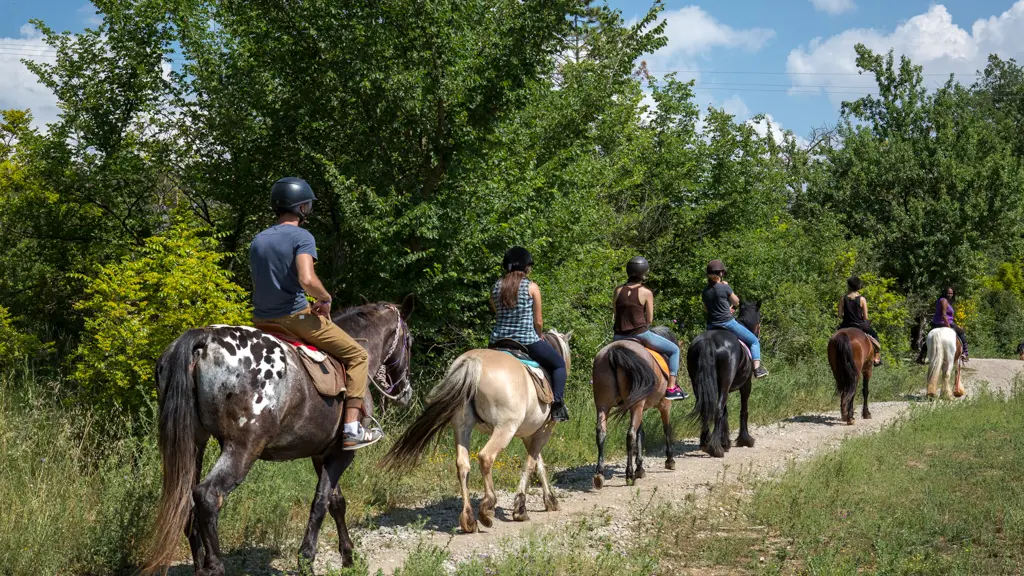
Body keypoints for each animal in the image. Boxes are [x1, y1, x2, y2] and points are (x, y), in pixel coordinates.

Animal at [142, 295, 413, 573]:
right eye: (409, 342)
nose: (405, 391)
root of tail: (203, 338)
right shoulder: (342, 453)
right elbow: (321, 502)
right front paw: (307, 559)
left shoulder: (321, 454)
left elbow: (336, 502)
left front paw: (348, 556)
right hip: (243, 447)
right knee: (207, 496)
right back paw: (215, 566)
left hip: (195, 445)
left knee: (187, 501)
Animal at [380, 330, 573, 532]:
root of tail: (474, 362)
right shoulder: (544, 430)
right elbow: (530, 464)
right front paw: (521, 508)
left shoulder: (529, 434)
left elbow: (538, 463)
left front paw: (549, 500)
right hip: (505, 429)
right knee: (485, 457)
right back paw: (487, 508)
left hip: (462, 425)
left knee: (462, 464)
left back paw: (469, 519)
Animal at [593, 325, 679, 485]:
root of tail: (615, 351)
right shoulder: (664, 405)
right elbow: (666, 429)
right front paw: (670, 460)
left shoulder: (640, 407)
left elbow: (641, 434)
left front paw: (640, 468)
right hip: (636, 405)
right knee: (630, 435)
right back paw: (629, 475)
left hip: (603, 405)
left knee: (601, 432)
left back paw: (599, 474)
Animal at [688, 301, 761, 457]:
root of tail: (708, 340)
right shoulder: (746, 384)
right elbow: (743, 410)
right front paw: (745, 440)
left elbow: (726, 414)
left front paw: (725, 442)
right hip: (726, 382)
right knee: (718, 408)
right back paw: (715, 449)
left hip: (699, 384)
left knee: (706, 408)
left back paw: (706, 443)